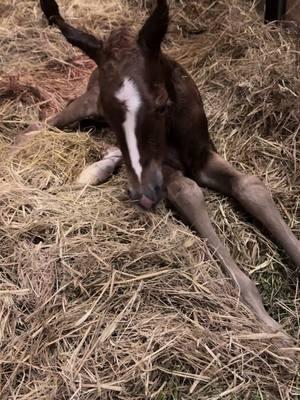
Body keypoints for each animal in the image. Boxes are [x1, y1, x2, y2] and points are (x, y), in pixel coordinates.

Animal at [19, 0, 300, 334]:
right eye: (112, 117)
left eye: (162, 104)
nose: (142, 195)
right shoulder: (162, 169)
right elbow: (188, 191)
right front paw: (271, 326)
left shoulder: (202, 155)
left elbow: (250, 186)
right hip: (84, 106)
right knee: (39, 126)